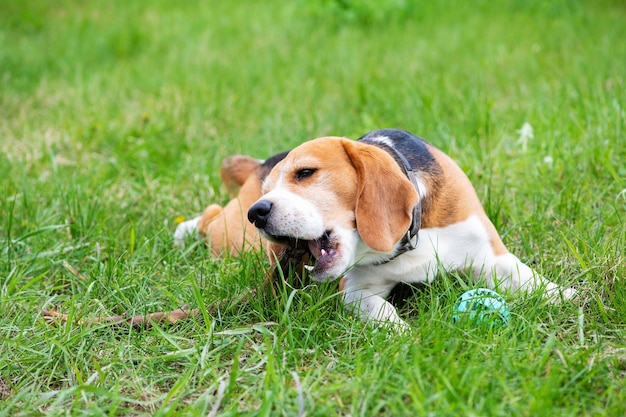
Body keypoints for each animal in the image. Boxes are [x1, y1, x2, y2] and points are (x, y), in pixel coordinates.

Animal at [246, 128, 572, 330]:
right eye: (266, 190)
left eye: (305, 172)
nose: (256, 213)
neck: (411, 241)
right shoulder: (353, 289)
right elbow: (381, 309)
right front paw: (401, 333)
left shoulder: (489, 255)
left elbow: (529, 278)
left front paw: (567, 296)